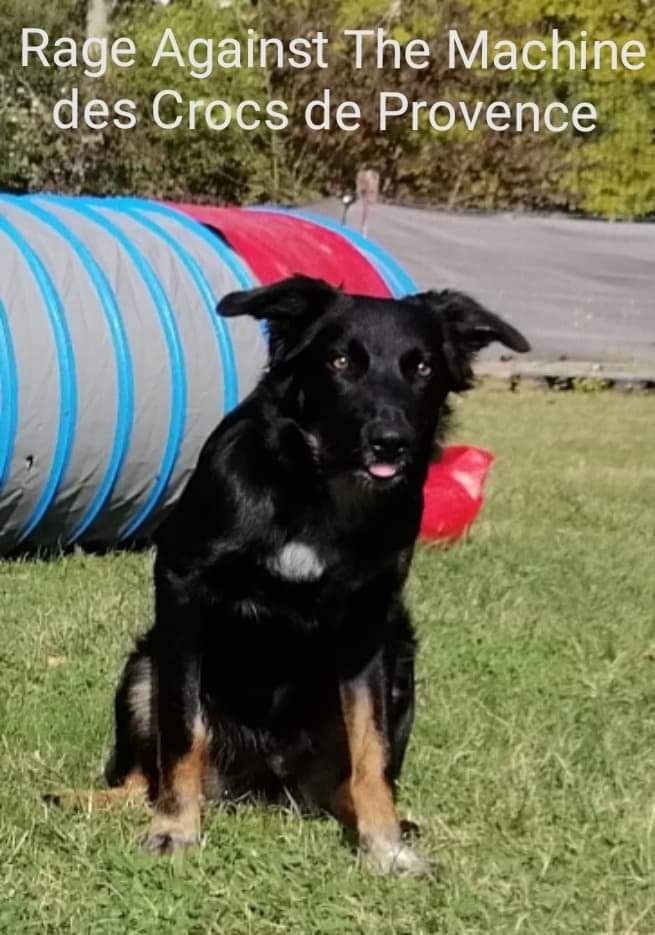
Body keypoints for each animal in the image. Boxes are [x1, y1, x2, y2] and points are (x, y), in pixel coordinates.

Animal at [105, 274, 532, 872]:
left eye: (422, 367)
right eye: (340, 361)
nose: (390, 441)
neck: (318, 492)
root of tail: (264, 782)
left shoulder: (369, 627)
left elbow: (372, 751)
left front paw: (386, 847)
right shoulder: (183, 589)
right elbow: (183, 728)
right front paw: (175, 828)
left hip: (401, 662)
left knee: (348, 779)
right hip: (145, 663)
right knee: (142, 774)